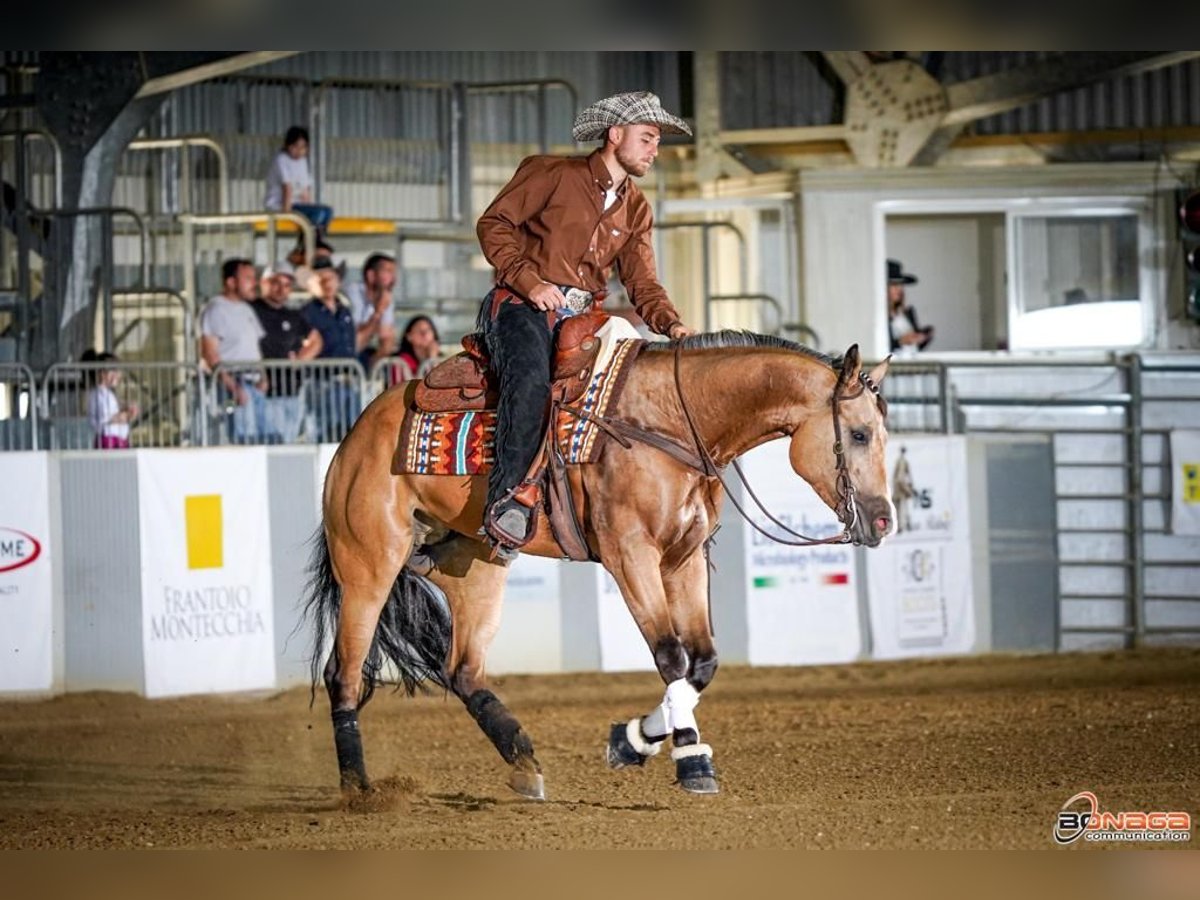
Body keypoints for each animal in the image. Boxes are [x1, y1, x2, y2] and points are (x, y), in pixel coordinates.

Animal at [304, 328, 897, 801]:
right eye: (859, 434)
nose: (884, 520)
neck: (668, 424)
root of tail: (356, 434)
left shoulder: (683, 559)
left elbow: (702, 663)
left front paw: (631, 742)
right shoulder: (630, 555)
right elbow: (672, 657)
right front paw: (690, 761)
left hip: (474, 565)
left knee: (463, 670)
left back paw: (524, 761)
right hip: (369, 564)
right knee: (344, 674)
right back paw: (360, 792)